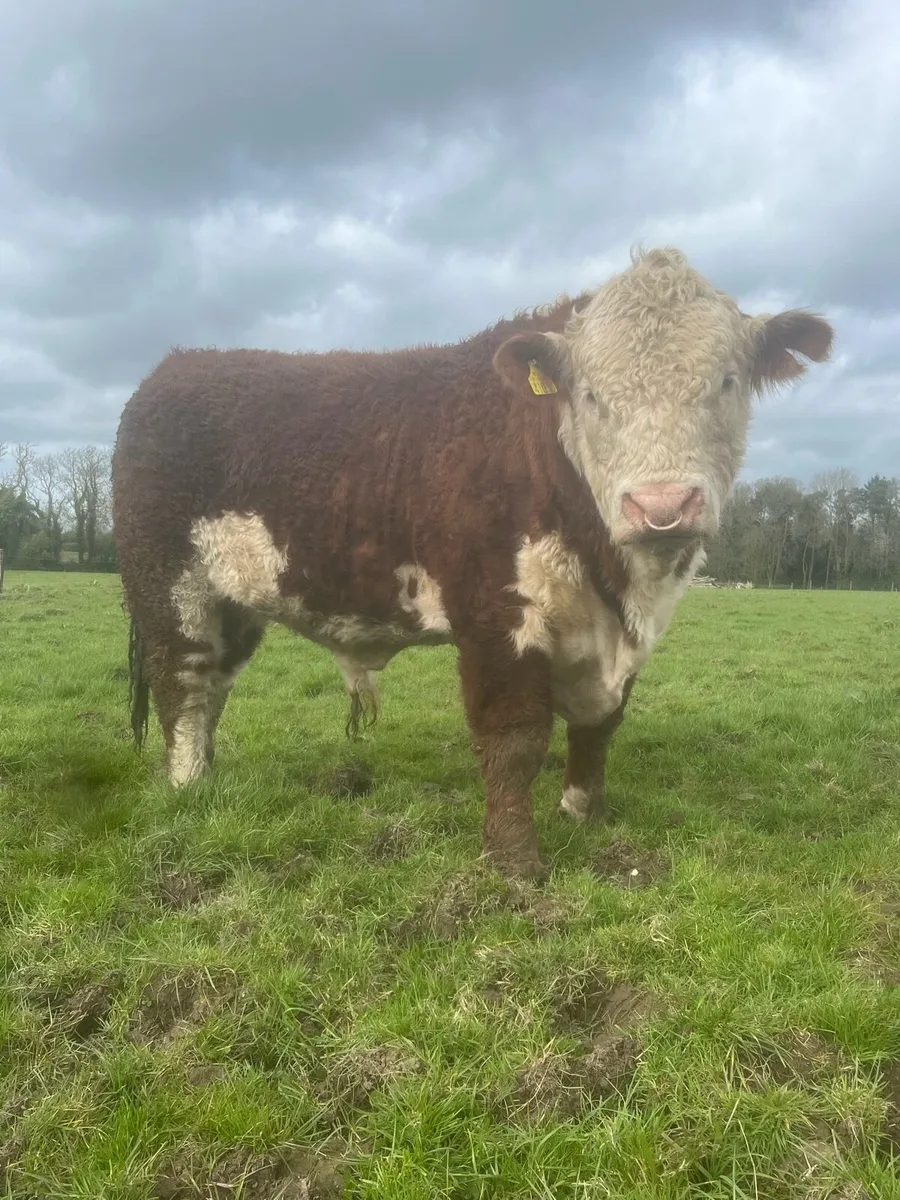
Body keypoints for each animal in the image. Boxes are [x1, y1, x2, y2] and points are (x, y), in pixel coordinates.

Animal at [112, 247, 833, 879]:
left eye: (727, 382)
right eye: (592, 396)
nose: (662, 505)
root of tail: (172, 370)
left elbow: (599, 724)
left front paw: (584, 815)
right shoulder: (495, 615)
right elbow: (513, 740)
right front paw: (516, 864)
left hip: (236, 602)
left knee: (215, 689)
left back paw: (209, 781)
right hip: (170, 587)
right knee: (184, 684)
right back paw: (186, 790)